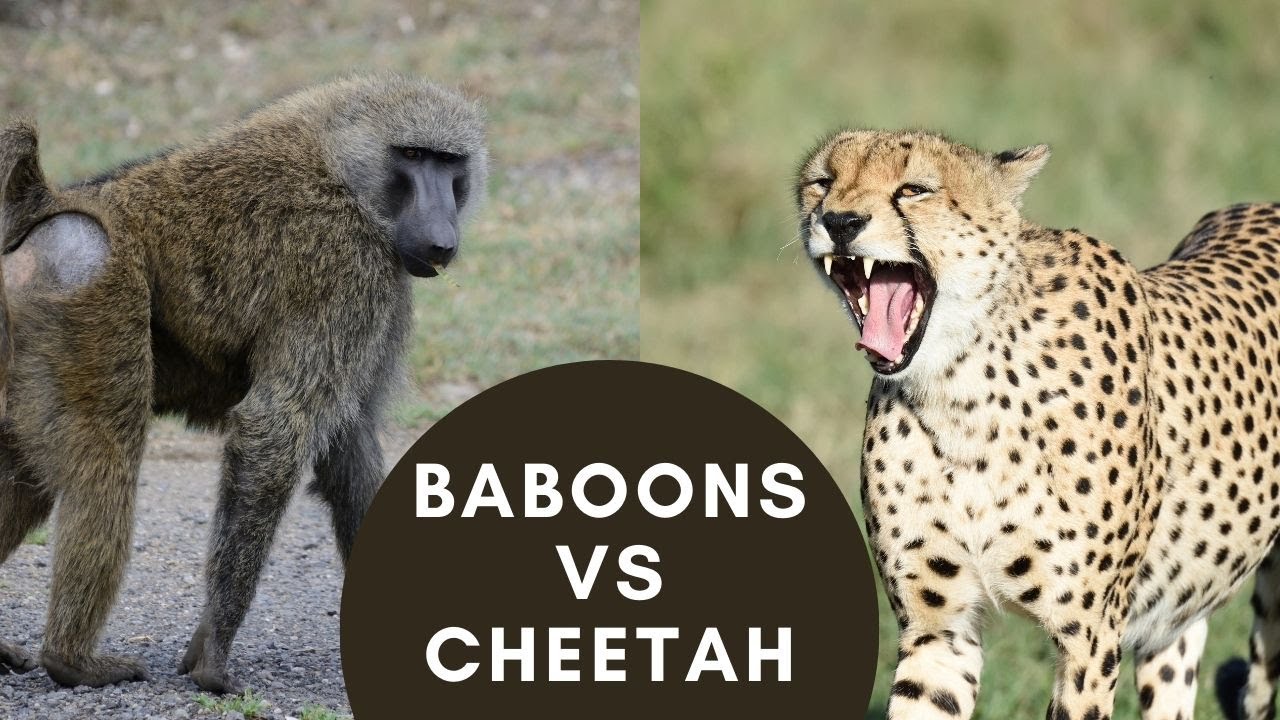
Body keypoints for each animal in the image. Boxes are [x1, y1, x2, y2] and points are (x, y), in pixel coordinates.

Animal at [795, 128, 1280, 720]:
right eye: (822, 182)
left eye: (914, 189)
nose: (839, 221)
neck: (961, 390)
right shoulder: (941, 629)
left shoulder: (1090, 633)